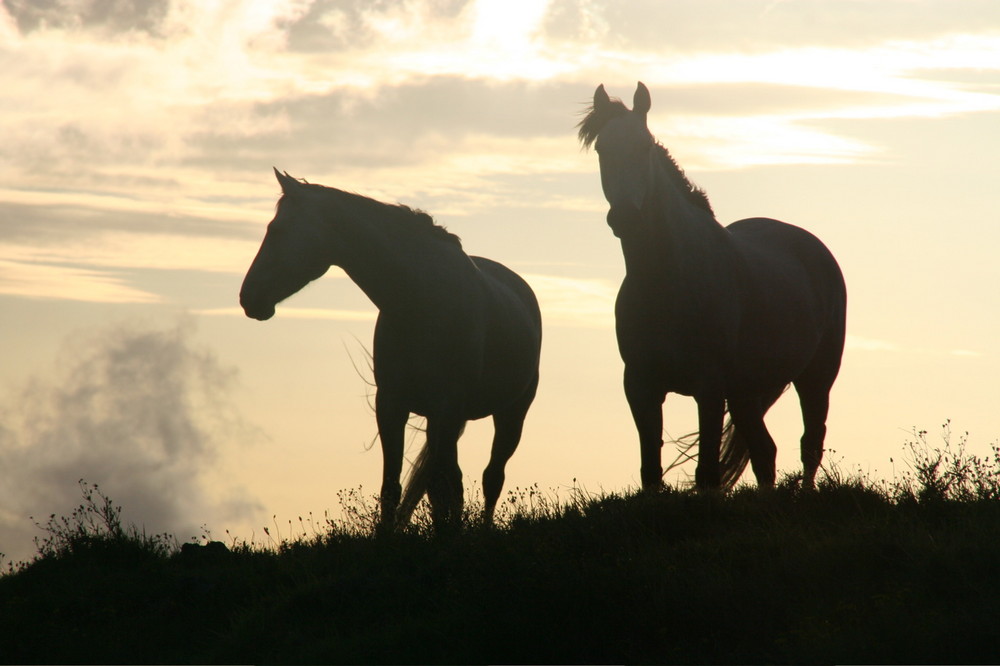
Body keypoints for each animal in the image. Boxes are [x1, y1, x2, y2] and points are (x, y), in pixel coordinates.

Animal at [239, 169, 544, 528]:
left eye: (276, 230)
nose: (248, 297)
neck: (420, 298)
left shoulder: (447, 408)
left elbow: (450, 487)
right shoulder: (391, 405)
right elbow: (394, 488)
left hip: (510, 413)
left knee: (491, 477)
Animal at [580, 81, 844, 488]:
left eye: (644, 147)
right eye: (601, 150)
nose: (625, 217)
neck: (668, 281)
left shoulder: (709, 388)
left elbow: (707, 473)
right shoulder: (641, 387)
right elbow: (650, 472)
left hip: (816, 378)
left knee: (810, 446)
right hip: (747, 392)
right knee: (765, 453)